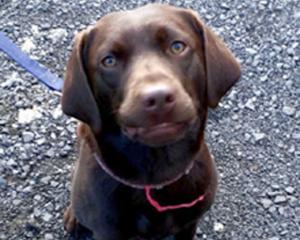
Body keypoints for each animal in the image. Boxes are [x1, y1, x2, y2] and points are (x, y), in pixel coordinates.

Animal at [62, 4, 240, 240]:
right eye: (109, 61)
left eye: (177, 46)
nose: (158, 98)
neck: (157, 176)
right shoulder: (107, 231)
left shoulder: (188, 224)